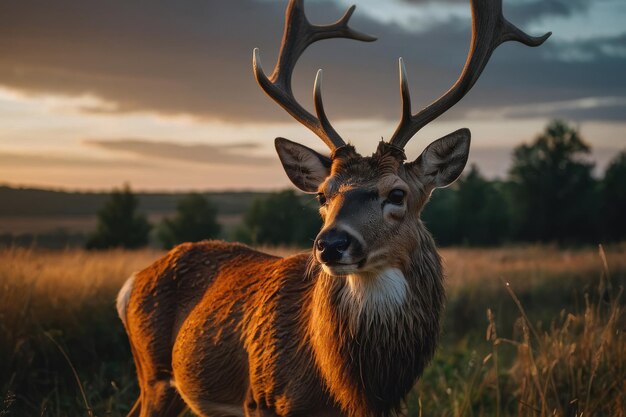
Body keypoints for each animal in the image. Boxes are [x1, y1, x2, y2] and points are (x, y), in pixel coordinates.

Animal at [116, 0, 544, 416]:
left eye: (397, 194)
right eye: (323, 195)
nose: (330, 245)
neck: (346, 388)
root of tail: (131, 285)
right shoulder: (260, 397)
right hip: (154, 374)